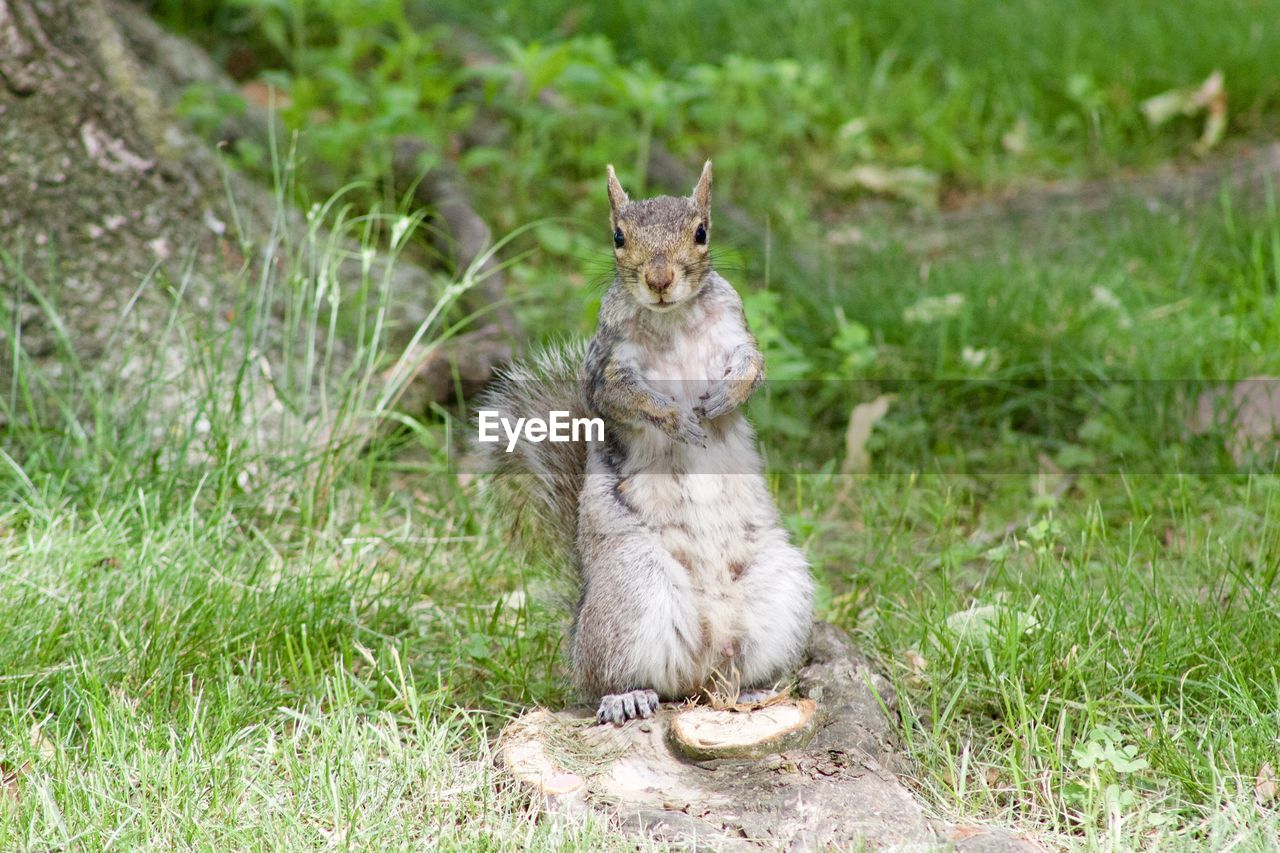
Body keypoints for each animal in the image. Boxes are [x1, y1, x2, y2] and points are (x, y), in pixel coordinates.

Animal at [476, 161, 814, 722]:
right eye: (618, 236)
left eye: (702, 232)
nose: (659, 280)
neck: (672, 318)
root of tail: (702, 662)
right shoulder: (606, 367)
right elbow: (628, 398)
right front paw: (676, 419)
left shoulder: (738, 333)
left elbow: (752, 368)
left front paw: (723, 399)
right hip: (633, 586)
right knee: (610, 678)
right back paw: (626, 695)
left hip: (780, 587)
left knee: (731, 674)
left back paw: (752, 690)